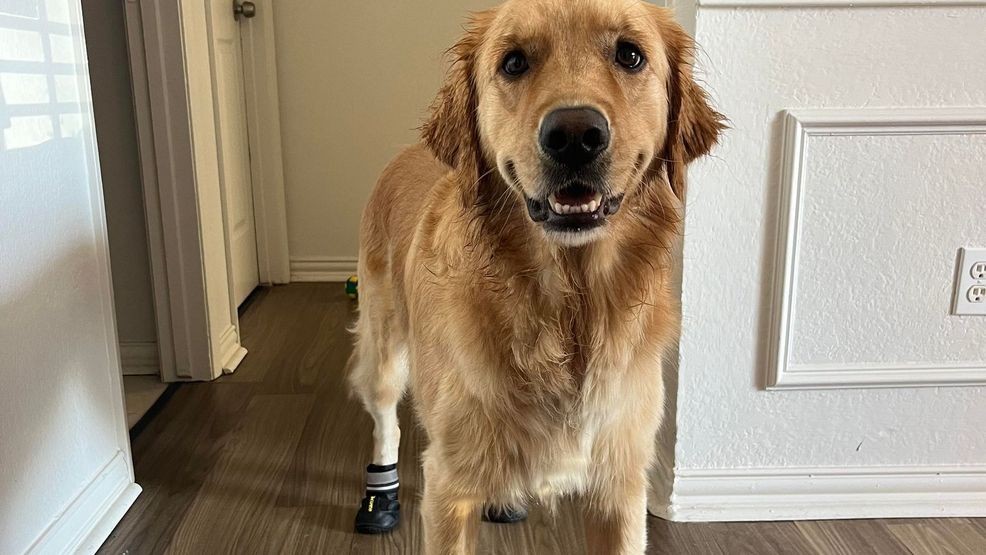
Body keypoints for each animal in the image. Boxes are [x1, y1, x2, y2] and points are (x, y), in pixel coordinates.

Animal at [350, 2, 720, 552]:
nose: (575, 135)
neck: (566, 306)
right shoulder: (448, 488)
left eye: (630, 55)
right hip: (384, 349)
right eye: (514, 62)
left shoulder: (619, 489)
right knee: (385, 422)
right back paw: (381, 492)